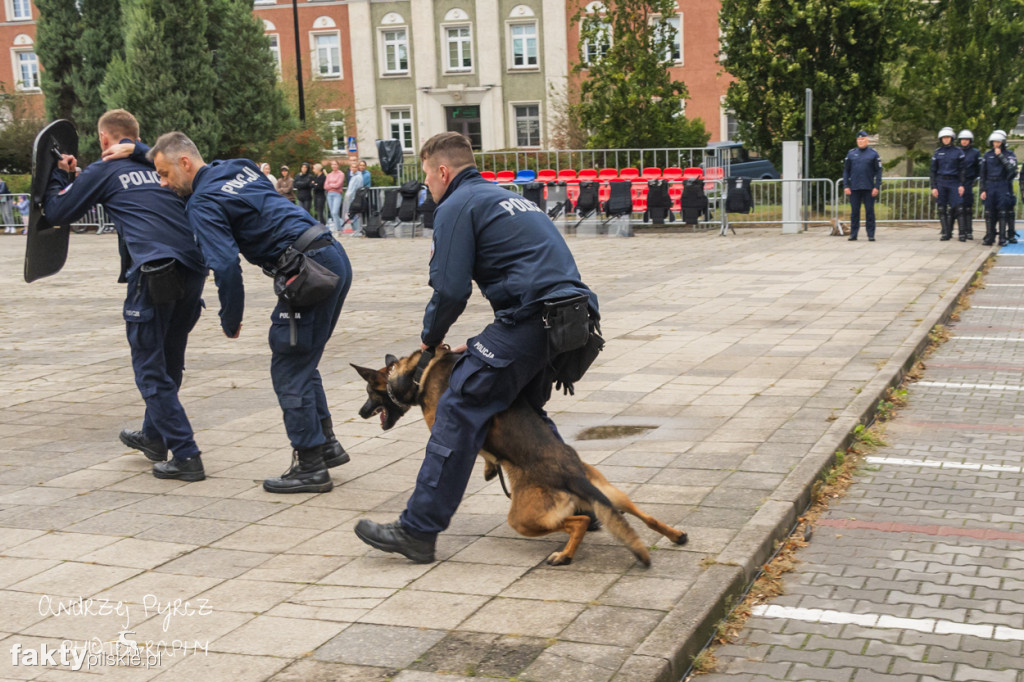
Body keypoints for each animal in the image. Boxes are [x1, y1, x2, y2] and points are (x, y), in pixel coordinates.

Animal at [352, 348, 688, 565]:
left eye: (369, 392)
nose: (360, 413)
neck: (420, 370)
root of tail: (571, 473)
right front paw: (491, 469)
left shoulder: (448, 427)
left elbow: (476, 450)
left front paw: (489, 468)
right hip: (612, 495)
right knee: (643, 516)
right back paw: (676, 536)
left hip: (523, 518)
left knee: (578, 522)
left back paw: (564, 555)